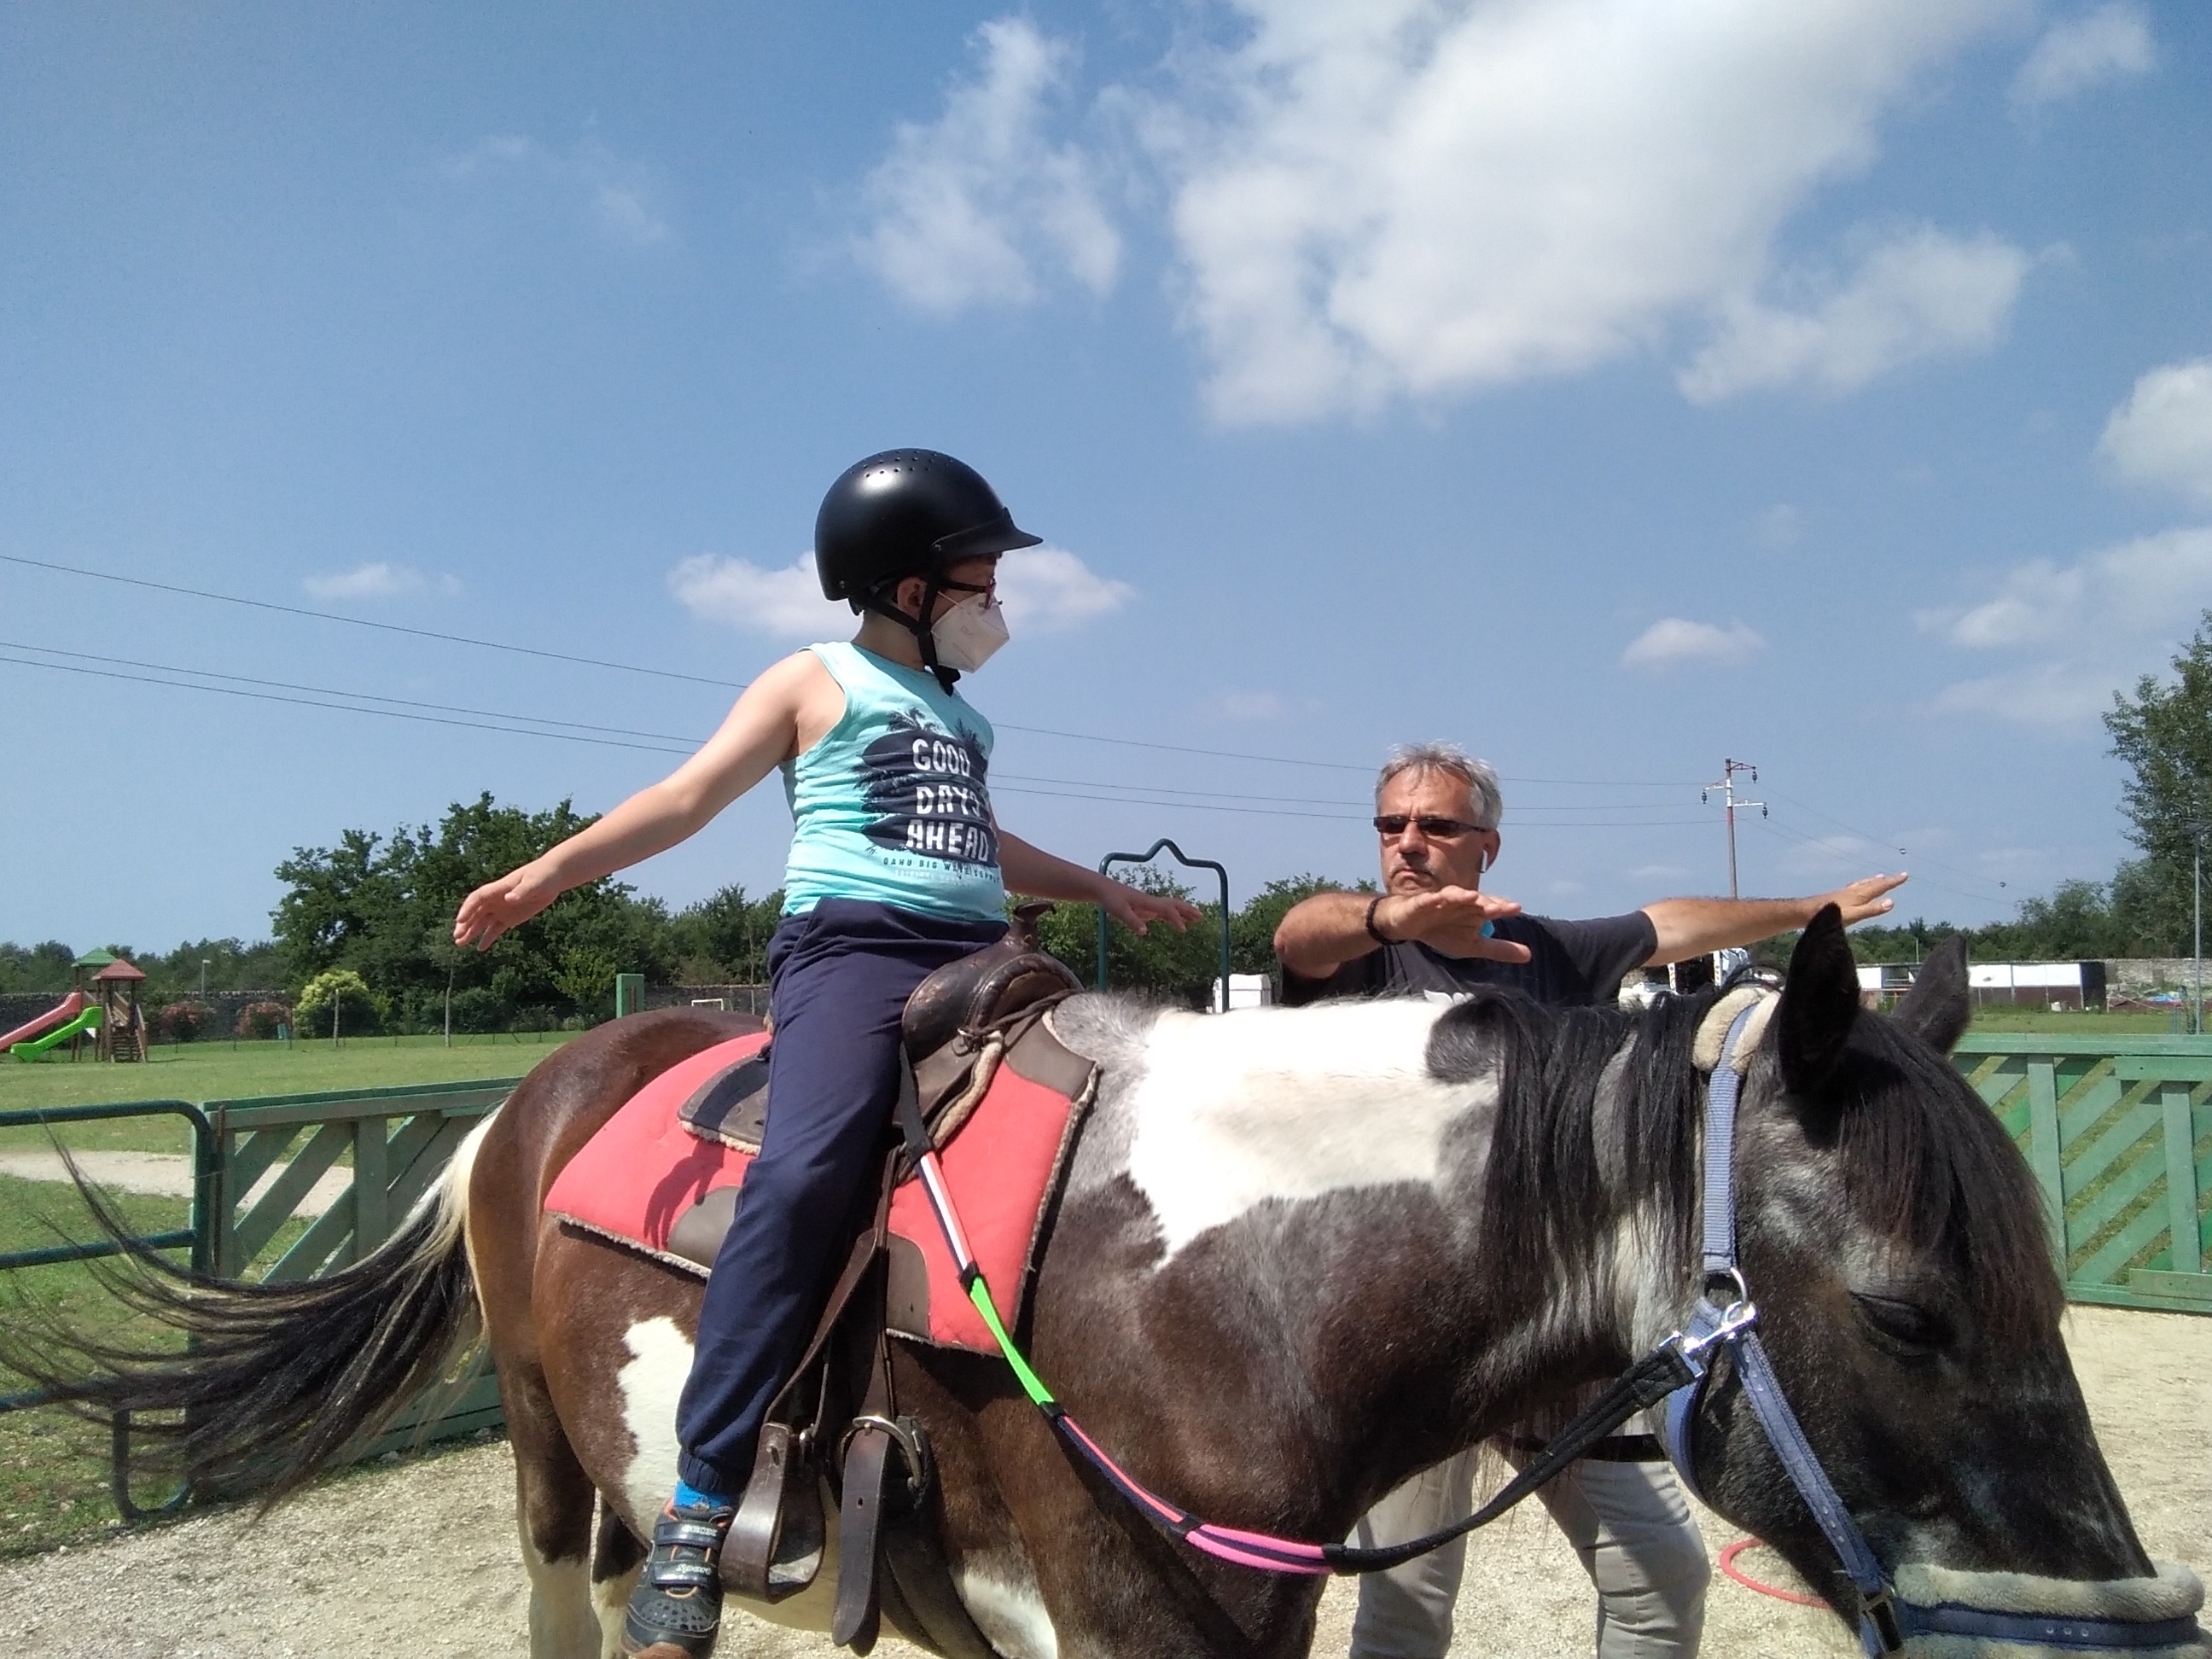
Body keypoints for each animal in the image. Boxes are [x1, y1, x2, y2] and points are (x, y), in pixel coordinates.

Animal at [8, 908, 2203, 1658]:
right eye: (1908, 1309)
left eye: (2053, 1301)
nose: (2122, 1632)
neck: (1231, 1279)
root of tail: (528, 1097)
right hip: (558, 1471)